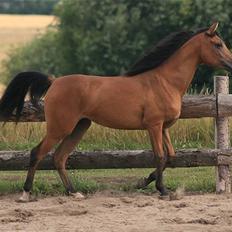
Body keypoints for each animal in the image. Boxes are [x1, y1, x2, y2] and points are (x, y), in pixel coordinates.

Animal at [0, 22, 232, 202]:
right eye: (218, 44)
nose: (231, 64)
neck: (165, 82)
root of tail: (54, 81)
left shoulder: (164, 128)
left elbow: (171, 157)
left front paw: (144, 182)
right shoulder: (154, 126)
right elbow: (159, 156)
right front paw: (163, 190)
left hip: (79, 127)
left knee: (59, 157)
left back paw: (74, 193)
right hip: (60, 128)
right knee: (37, 153)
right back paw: (25, 194)